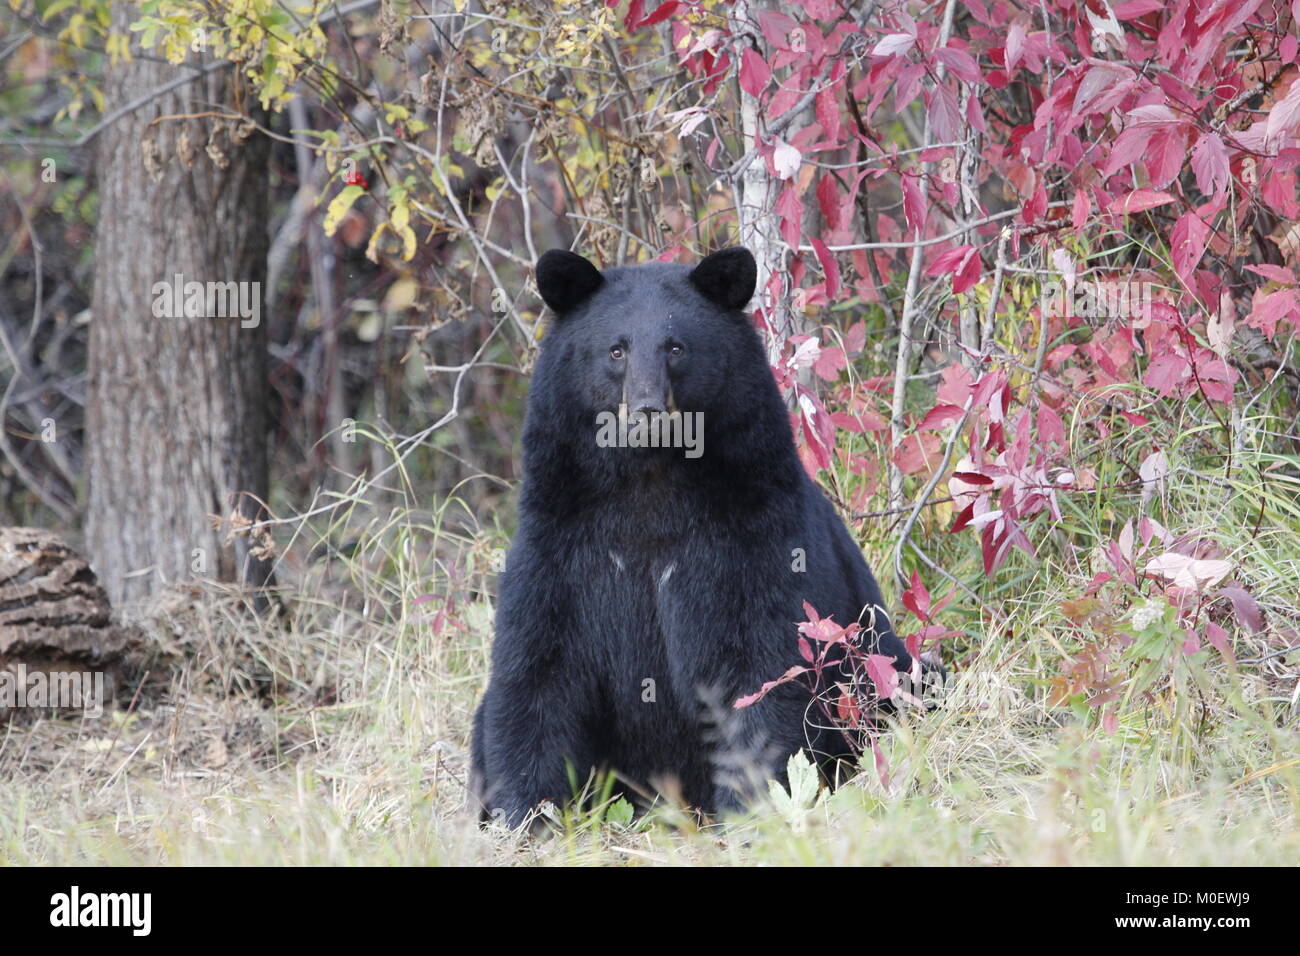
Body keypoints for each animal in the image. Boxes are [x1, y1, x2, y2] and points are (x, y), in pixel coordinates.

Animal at [473, 247, 920, 832]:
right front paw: (526, 817)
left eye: (676, 346)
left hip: (885, 666)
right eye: (616, 349)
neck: (651, 481)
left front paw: (753, 807)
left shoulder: (758, 534)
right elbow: (537, 671)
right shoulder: (557, 544)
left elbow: (764, 667)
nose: (646, 411)